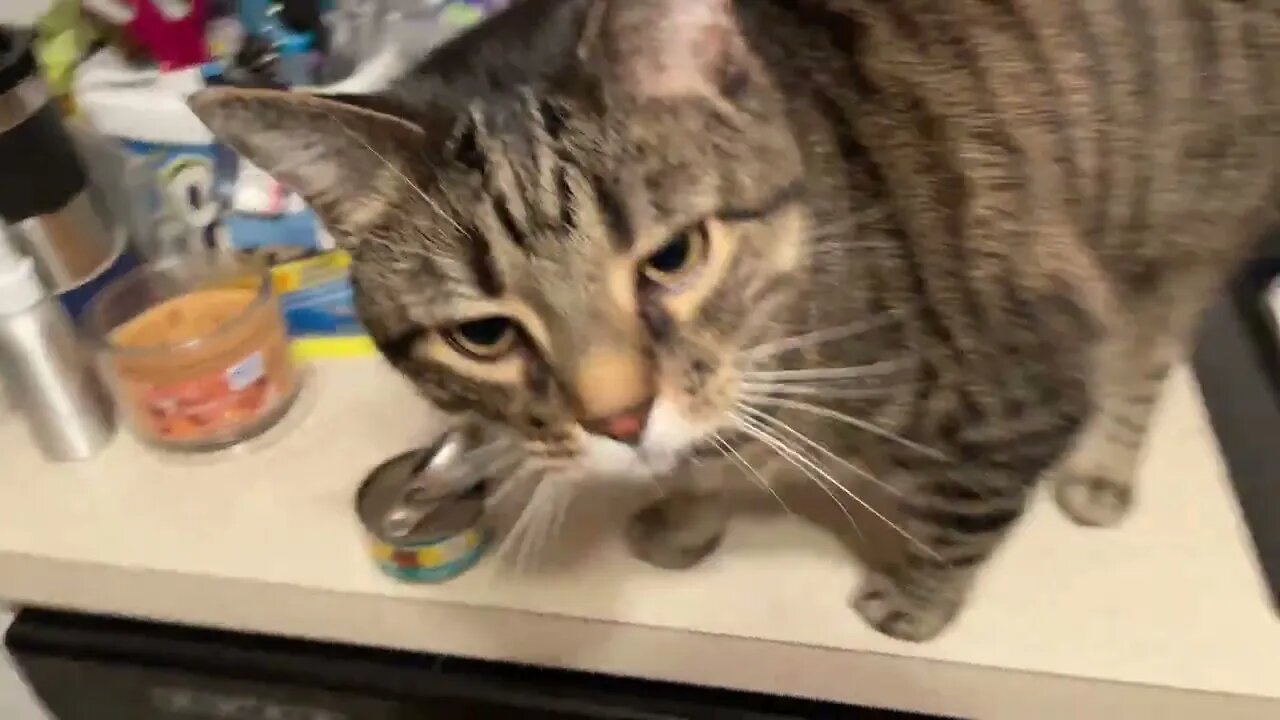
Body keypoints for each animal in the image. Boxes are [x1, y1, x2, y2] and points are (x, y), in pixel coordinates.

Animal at [186, 0, 1280, 638]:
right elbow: (701, 463)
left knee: (1148, 351)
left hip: (1184, 225)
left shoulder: (1028, 374)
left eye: (672, 257)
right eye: (483, 335)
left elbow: (960, 514)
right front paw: (685, 509)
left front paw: (912, 601)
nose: (618, 418)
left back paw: (1101, 470)